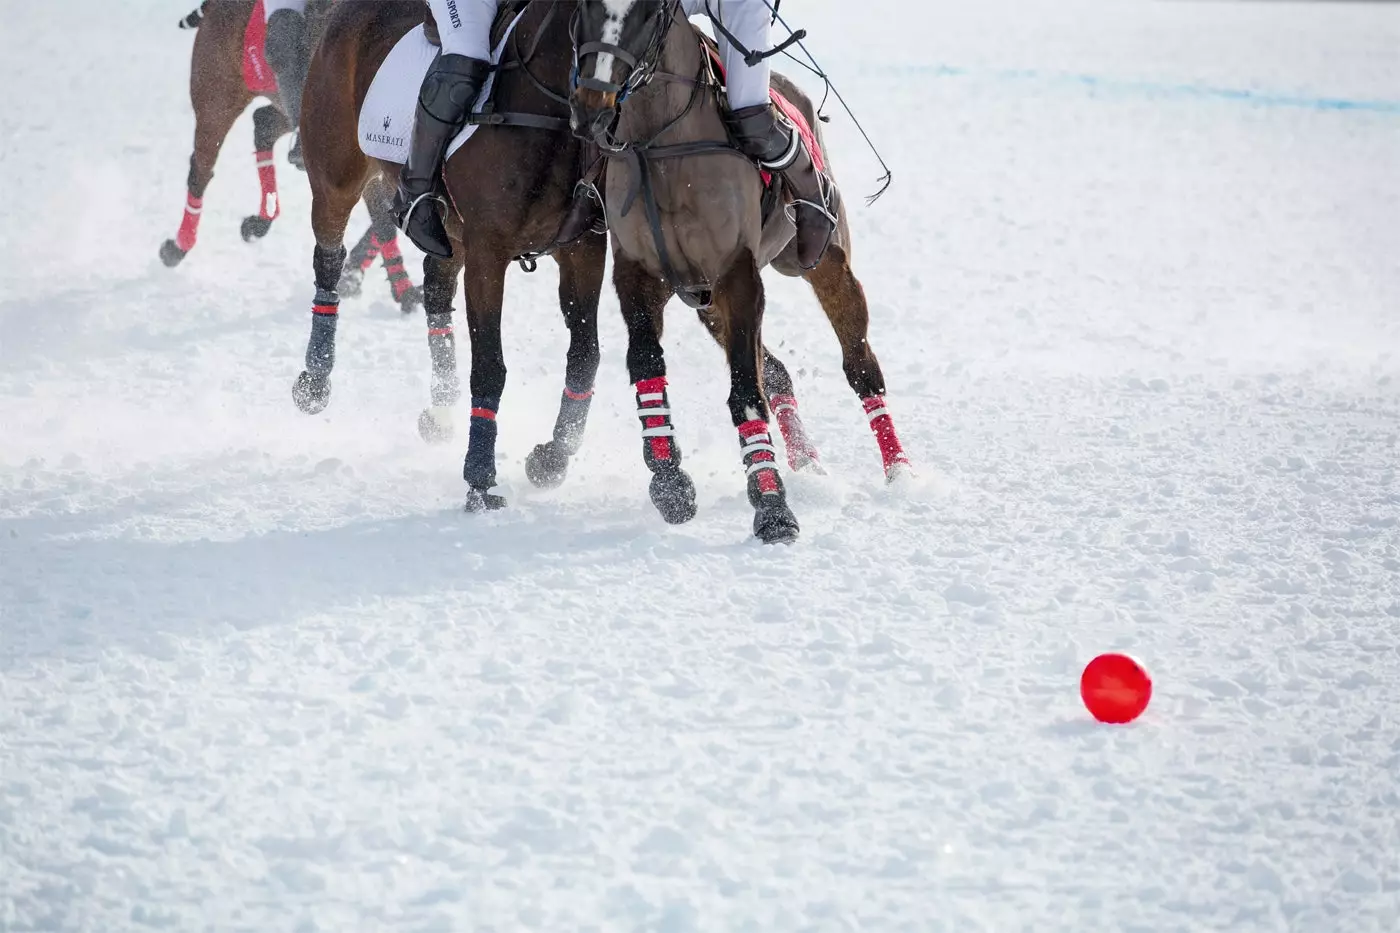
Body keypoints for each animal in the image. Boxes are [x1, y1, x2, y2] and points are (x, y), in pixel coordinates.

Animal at [160, 0, 417, 312]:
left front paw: (356, 277)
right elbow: (383, 221)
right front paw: (403, 291)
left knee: (263, 122)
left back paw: (262, 218)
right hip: (217, 96)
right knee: (201, 169)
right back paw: (179, 245)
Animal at [571, 0, 912, 540]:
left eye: (647, 13)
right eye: (584, 7)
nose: (591, 110)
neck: (659, 143)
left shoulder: (737, 273)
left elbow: (746, 391)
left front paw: (772, 508)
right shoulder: (638, 273)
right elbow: (647, 365)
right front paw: (670, 483)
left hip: (822, 260)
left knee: (860, 365)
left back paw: (901, 471)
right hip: (704, 300)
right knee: (777, 371)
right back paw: (808, 461)